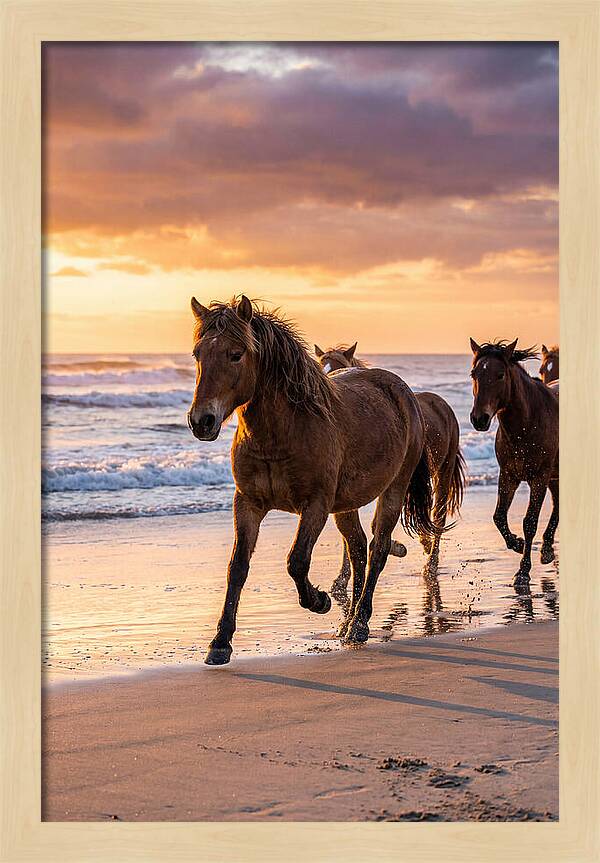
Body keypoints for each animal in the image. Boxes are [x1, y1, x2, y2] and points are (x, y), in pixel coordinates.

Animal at [188, 296, 436, 664]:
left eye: (236, 354)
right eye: (197, 354)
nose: (201, 421)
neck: (282, 433)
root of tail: (405, 393)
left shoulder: (315, 506)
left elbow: (297, 561)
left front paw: (319, 601)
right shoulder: (247, 504)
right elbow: (238, 567)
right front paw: (220, 643)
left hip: (392, 491)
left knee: (377, 550)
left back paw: (359, 623)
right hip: (345, 506)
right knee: (358, 549)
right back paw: (347, 624)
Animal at [315, 342, 465, 575]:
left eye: (339, 366)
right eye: (321, 365)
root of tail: (442, 404)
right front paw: (343, 577)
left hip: (443, 473)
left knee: (438, 516)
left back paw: (431, 562)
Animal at [469, 338, 559, 586]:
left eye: (500, 375)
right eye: (474, 374)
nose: (479, 419)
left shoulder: (539, 478)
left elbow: (529, 522)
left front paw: (523, 571)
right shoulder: (509, 475)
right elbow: (499, 516)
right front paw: (516, 544)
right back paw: (547, 549)